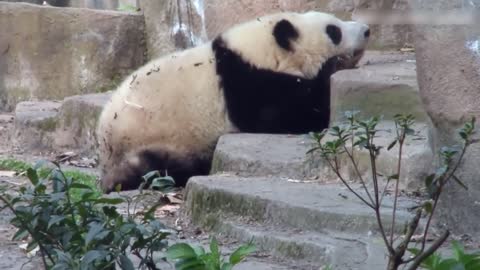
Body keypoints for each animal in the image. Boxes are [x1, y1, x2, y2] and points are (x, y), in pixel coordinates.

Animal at [95, 11, 370, 192]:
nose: (367, 30)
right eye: (333, 31)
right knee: (160, 166)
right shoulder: (246, 84)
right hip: (151, 142)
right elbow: (287, 114)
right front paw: (333, 67)